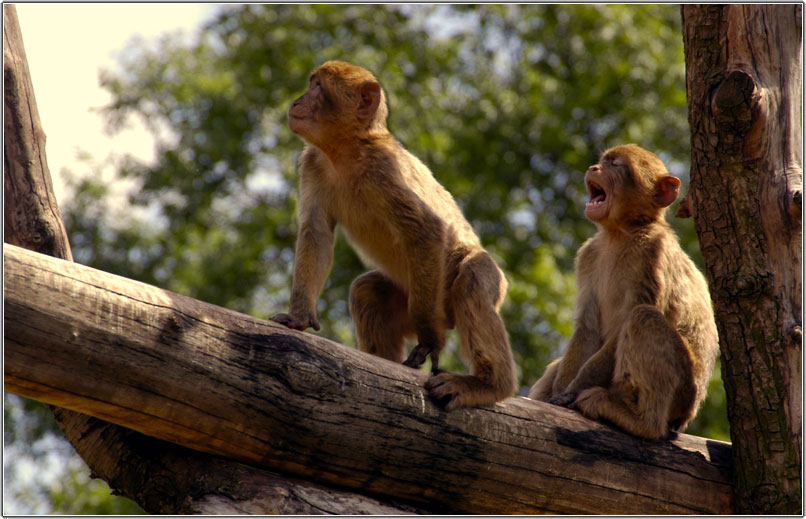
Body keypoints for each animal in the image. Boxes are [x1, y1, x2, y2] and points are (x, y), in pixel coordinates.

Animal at [272, 61, 516, 410]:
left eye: (317, 87)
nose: (296, 102)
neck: (346, 151)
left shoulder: (383, 170)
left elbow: (427, 230)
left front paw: (429, 340)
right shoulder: (313, 163)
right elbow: (316, 233)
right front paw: (299, 315)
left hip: (447, 294)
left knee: (472, 277)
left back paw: (489, 385)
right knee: (367, 292)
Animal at [532, 144, 720, 440]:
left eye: (615, 164)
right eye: (603, 161)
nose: (594, 168)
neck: (620, 233)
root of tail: (687, 417)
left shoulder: (650, 254)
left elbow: (625, 323)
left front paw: (571, 393)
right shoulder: (589, 255)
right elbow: (586, 327)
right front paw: (559, 393)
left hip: (683, 394)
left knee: (643, 317)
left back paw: (642, 422)